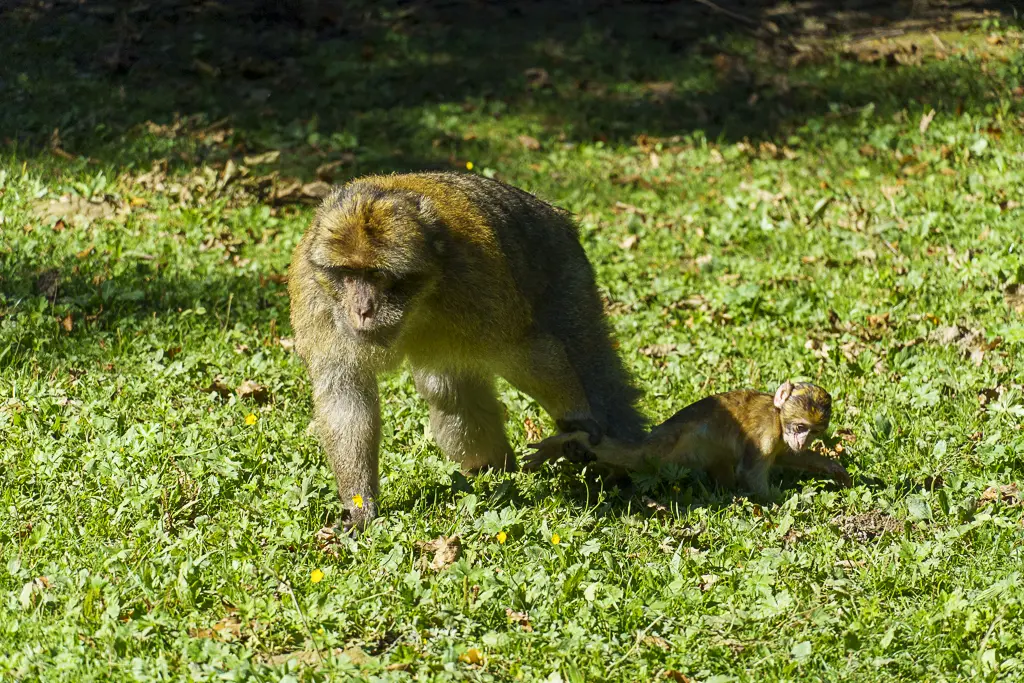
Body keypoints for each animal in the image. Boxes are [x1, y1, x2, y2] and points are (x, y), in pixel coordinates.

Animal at [288, 172, 647, 529]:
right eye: (348, 274)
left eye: (377, 274)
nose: (362, 309)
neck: (419, 301)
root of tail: (551, 210)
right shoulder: (316, 299)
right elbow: (346, 395)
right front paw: (359, 504)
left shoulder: (479, 278)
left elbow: (523, 349)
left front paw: (577, 421)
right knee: (447, 389)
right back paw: (491, 469)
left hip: (564, 265)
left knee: (588, 360)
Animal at [523, 381, 851, 500]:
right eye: (799, 427)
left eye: (813, 432)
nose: (803, 441)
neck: (776, 413)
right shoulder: (766, 434)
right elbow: (751, 473)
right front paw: (789, 501)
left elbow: (786, 456)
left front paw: (832, 469)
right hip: (663, 450)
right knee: (632, 457)